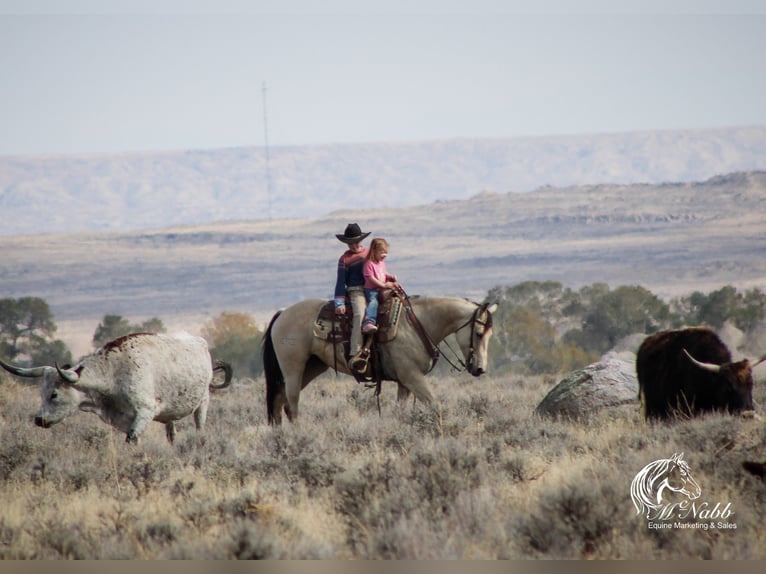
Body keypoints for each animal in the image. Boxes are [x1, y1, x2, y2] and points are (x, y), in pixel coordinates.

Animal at [0, 332, 232, 446]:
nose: (39, 420)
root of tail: (199, 341)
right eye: (41, 393)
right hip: (170, 415)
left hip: (202, 404)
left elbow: (131, 440)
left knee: (199, 428)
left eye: (54, 394)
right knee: (171, 433)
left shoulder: (144, 412)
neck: (115, 371)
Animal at [262, 294, 498, 426]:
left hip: (312, 367)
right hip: (293, 368)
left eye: (490, 335)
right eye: (478, 333)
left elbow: (402, 410)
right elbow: (435, 405)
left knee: (279, 403)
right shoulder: (413, 378)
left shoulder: (405, 382)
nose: (480, 369)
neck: (416, 324)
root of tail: (282, 313)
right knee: (291, 404)